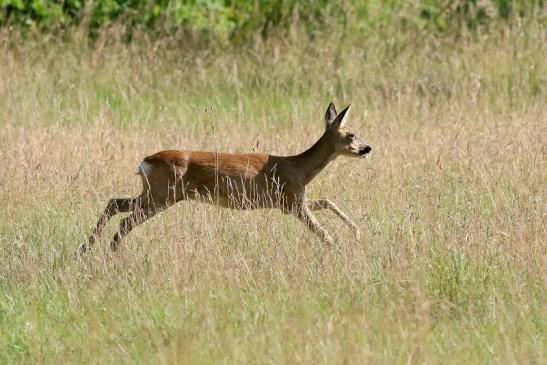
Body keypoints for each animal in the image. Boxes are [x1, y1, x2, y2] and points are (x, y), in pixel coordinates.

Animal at [77, 103, 370, 253]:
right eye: (351, 134)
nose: (367, 148)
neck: (300, 168)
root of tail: (145, 162)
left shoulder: (291, 200)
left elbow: (328, 201)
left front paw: (357, 233)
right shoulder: (292, 201)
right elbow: (322, 232)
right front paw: (338, 249)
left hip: (154, 192)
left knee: (115, 203)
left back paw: (87, 247)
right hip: (162, 194)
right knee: (125, 219)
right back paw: (108, 252)